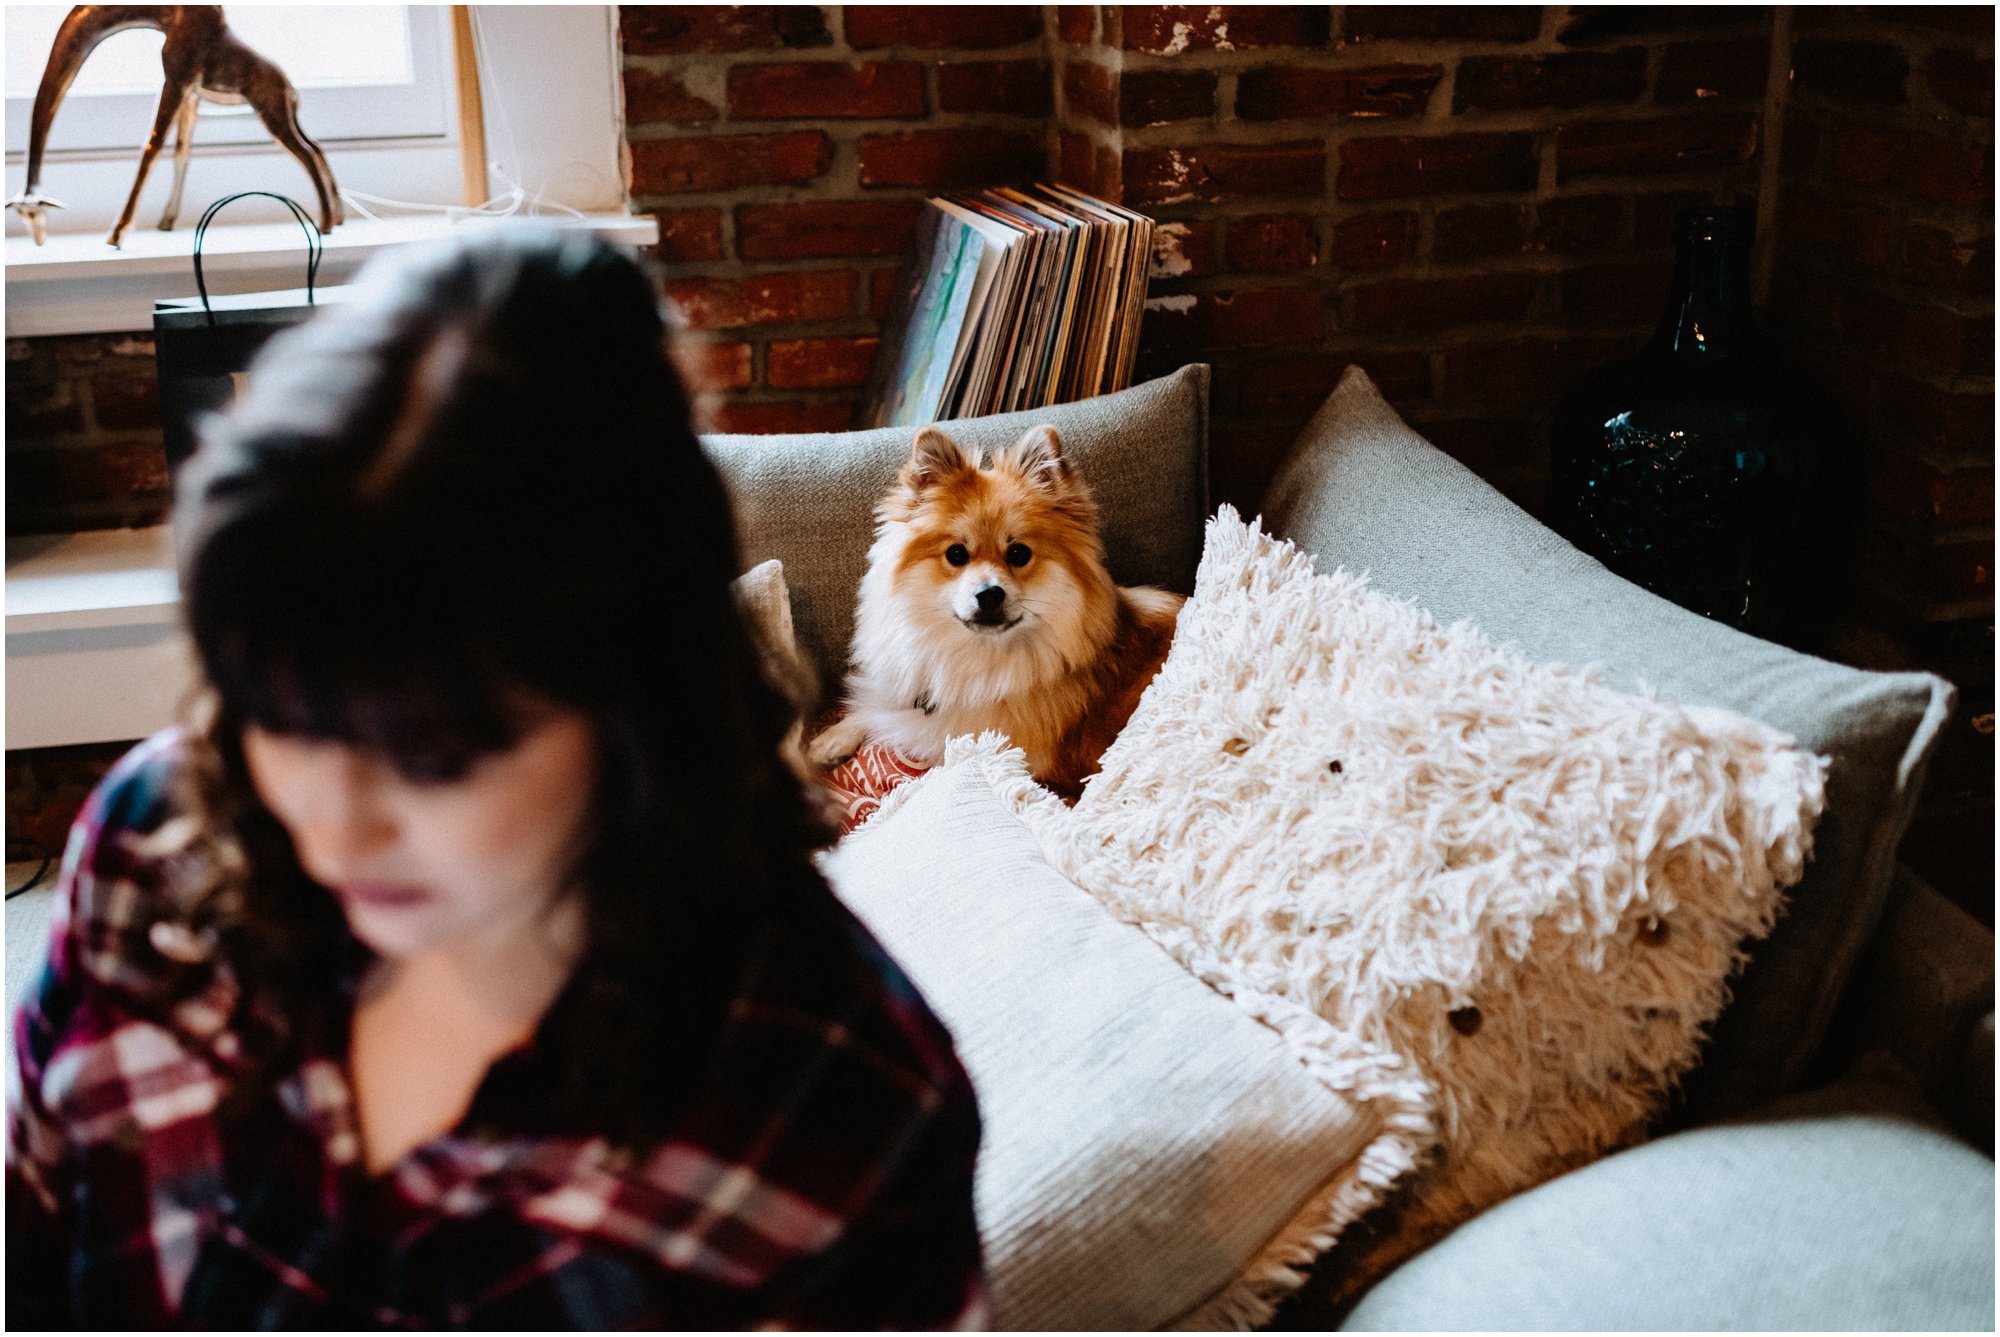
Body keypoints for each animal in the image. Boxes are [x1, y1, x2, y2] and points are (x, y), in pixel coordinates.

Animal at [812, 422, 1176, 800]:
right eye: (956, 554)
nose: (989, 594)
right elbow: (879, 710)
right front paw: (831, 739)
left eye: (1019, 553)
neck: (982, 659)